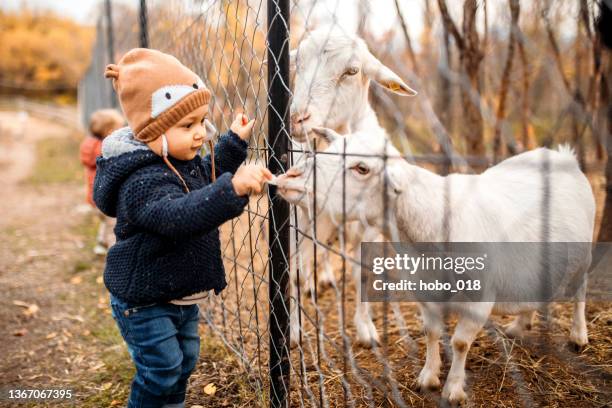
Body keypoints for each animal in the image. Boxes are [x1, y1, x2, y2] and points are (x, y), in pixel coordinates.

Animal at [276, 127, 592, 404]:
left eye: (362, 168)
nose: (290, 178)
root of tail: (564, 156)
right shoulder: (425, 293)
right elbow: (432, 333)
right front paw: (428, 377)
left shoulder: (479, 301)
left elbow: (460, 343)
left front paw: (453, 390)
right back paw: (519, 325)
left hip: (583, 257)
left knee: (580, 292)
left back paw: (578, 336)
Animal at [288, 26, 416, 348]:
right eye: (298, 64)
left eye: (352, 71)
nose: (297, 118)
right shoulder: (301, 216)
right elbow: (295, 273)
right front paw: (293, 331)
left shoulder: (370, 223)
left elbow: (363, 272)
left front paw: (366, 330)